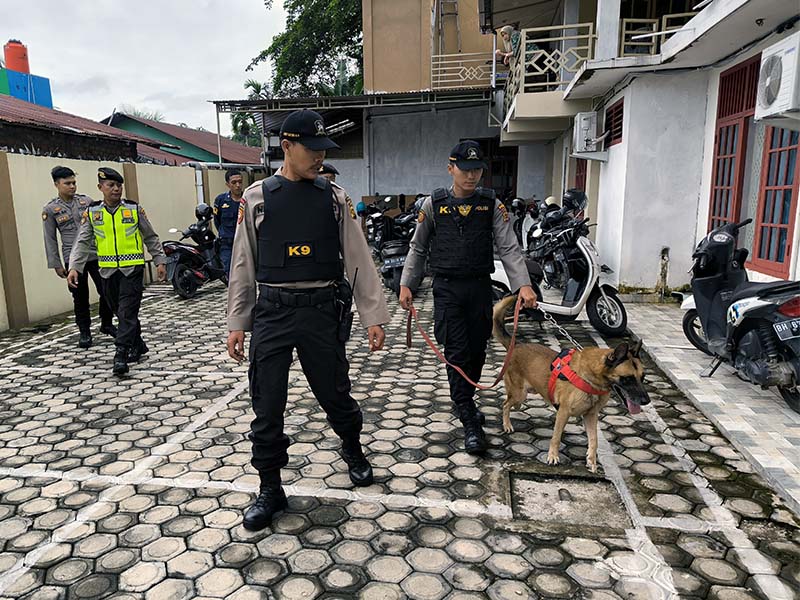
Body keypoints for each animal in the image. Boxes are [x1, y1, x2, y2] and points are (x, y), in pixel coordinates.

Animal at [494, 296, 648, 474]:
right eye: (627, 379)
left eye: (642, 377)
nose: (646, 401)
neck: (591, 377)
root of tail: (517, 344)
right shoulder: (563, 412)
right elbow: (556, 437)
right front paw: (553, 456)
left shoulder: (591, 416)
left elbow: (594, 440)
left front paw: (591, 461)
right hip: (520, 394)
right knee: (505, 404)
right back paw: (507, 424)